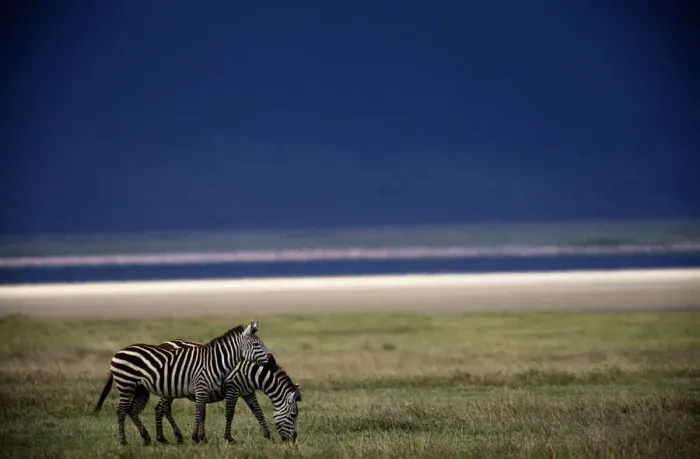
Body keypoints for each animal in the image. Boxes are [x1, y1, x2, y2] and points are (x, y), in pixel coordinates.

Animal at [129, 338, 276, 444]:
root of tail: (162, 344)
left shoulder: (248, 392)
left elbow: (258, 412)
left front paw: (268, 436)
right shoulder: (233, 388)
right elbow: (230, 413)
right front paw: (229, 438)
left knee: (162, 408)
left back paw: (170, 437)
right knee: (161, 408)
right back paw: (166, 437)